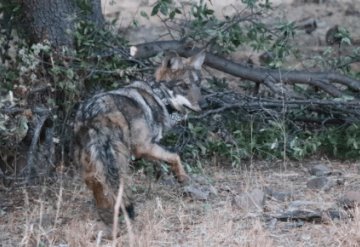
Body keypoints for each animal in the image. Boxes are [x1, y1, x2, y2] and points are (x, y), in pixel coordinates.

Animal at [73, 50, 205, 224]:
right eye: (184, 86)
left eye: (198, 85)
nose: (203, 106)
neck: (158, 96)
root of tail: (93, 113)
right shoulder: (143, 147)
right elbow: (175, 156)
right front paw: (182, 177)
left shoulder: (147, 149)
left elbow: (163, 161)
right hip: (119, 160)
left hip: (90, 162)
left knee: (96, 184)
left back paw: (106, 215)